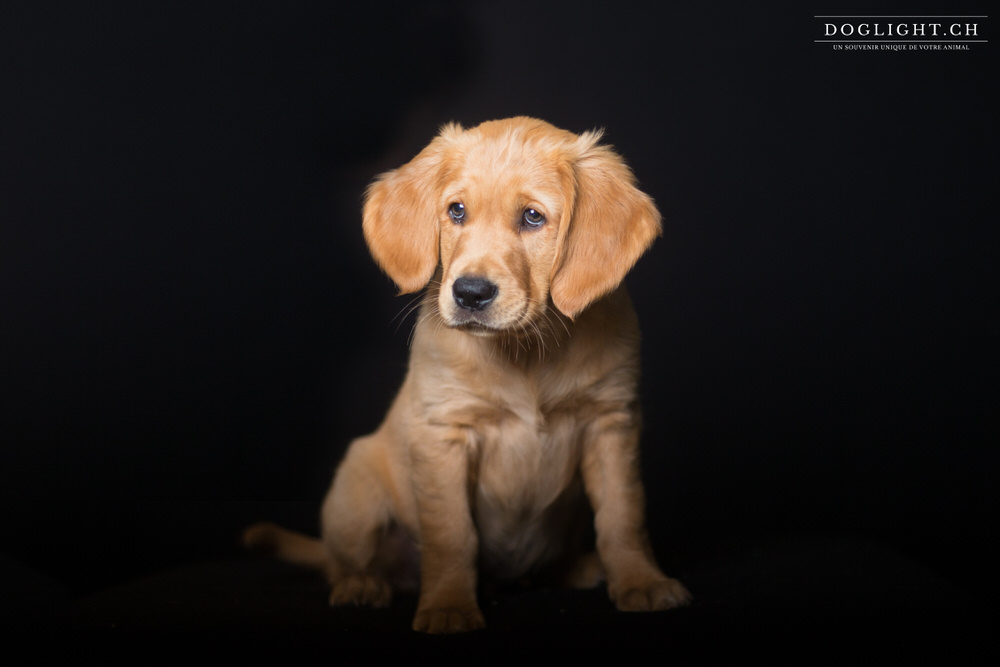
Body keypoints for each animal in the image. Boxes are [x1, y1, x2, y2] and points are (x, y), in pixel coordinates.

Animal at [246, 117, 692, 636]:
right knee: (345, 562)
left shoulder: (612, 423)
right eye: (456, 211)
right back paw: (362, 584)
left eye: (533, 218)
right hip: (354, 489)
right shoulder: (444, 433)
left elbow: (624, 516)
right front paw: (448, 605)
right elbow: (452, 534)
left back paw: (577, 567)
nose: (470, 293)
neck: (525, 351)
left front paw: (642, 581)